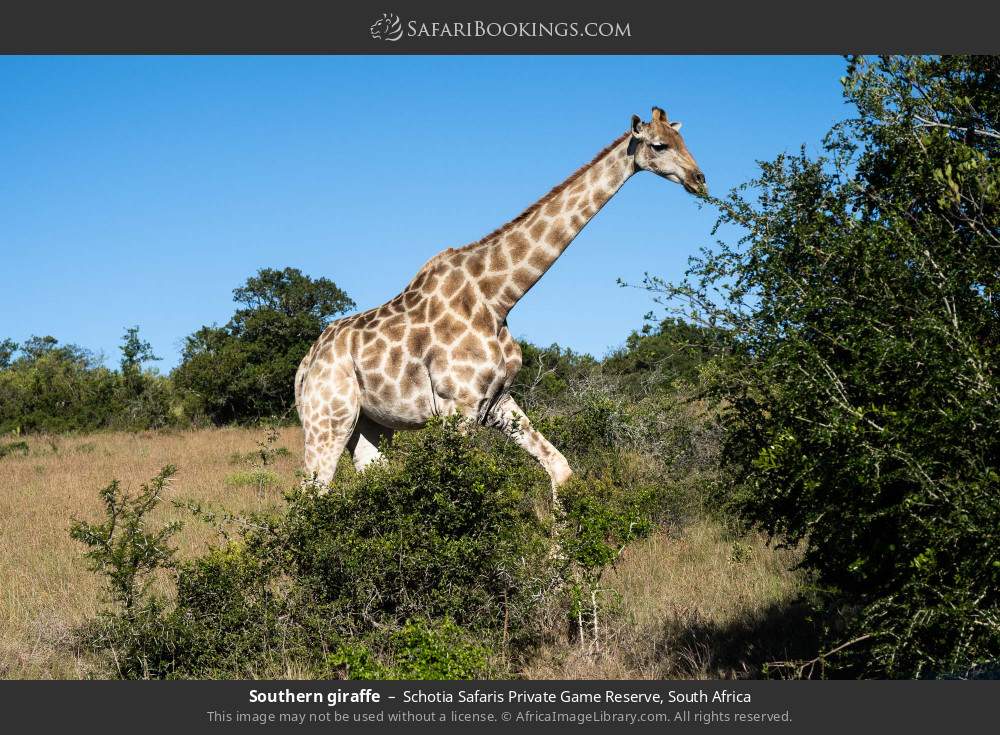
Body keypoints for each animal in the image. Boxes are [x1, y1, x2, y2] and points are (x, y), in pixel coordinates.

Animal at [295, 107, 706, 497]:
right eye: (659, 146)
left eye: (683, 141)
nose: (699, 180)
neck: (498, 298)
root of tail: (304, 367)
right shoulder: (457, 407)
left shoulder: (497, 401)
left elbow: (561, 469)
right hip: (328, 418)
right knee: (311, 493)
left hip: (372, 425)